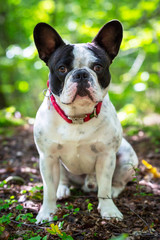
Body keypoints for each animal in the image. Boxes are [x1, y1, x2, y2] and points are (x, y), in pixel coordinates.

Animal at [33, 20, 138, 223]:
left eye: (98, 67)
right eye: (62, 69)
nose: (81, 74)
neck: (77, 117)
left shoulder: (106, 156)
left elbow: (104, 187)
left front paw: (109, 210)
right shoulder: (48, 157)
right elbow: (48, 190)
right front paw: (47, 212)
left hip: (127, 158)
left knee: (117, 182)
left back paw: (113, 191)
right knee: (62, 180)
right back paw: (62, 190)